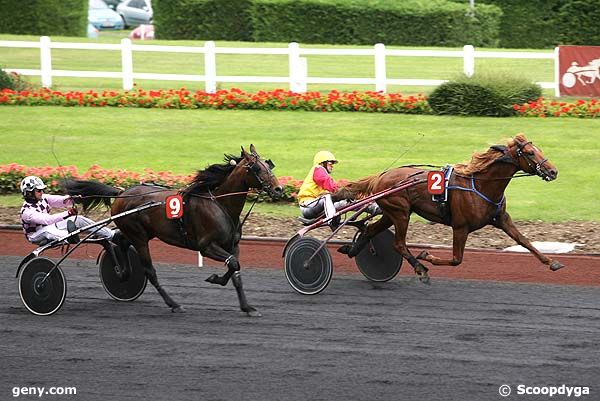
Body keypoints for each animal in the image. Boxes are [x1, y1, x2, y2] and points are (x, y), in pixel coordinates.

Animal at [65, 145, 282, 314]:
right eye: (257, 168)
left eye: (268, 165)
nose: (279, 189)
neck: (220, 204)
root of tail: (121, 193)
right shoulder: (206, 246)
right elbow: (233, 264)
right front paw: (215, 279)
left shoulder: (232, 245)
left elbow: (235, 268)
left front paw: (246, 306)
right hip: (139, 237)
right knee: (149, 271)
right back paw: (173, 303)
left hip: (142, 232)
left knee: (120, 240)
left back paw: (121, 271)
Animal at [336, 134, 564, 282]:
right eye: (530, 152)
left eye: (539, 150)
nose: (553, 171)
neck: (481, 185)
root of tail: (381, 176)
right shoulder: (460, 227)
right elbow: (456, 260)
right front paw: (426, 256)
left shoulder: (501, 218)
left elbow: (524, 240)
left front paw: (552, 262)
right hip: (400, 214)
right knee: (398, 244)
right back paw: (421, 268)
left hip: (392, 213)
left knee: (370, 230)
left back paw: (352, 250)